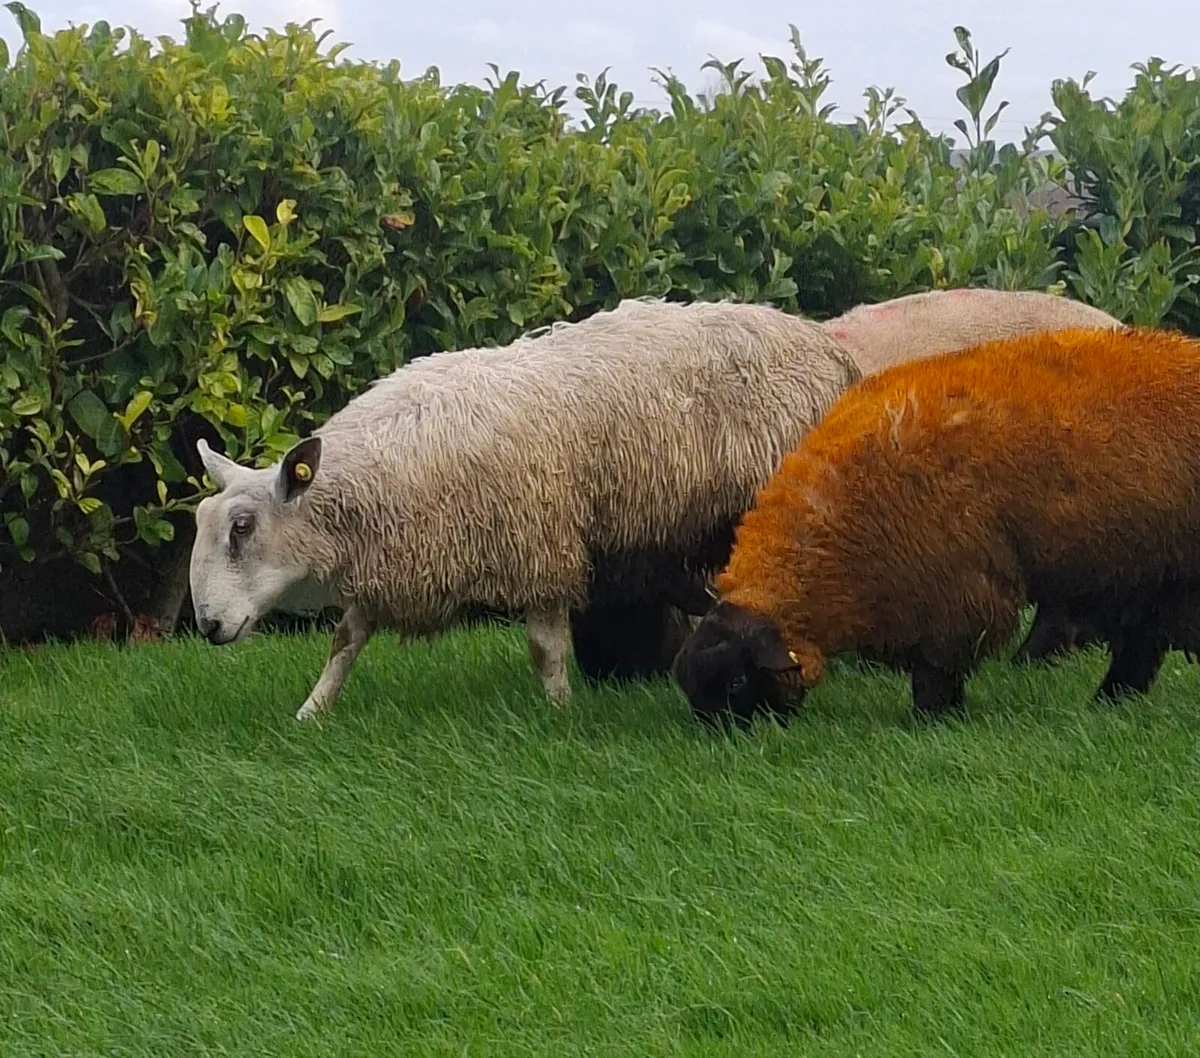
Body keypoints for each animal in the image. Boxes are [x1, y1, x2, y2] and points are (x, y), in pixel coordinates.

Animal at [187, 296, 861, 721]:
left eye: (242, 528)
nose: (209, 627)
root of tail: (822, 343)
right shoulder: (395, 561)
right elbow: (343, 643)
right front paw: (312, 711)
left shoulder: (541, 545)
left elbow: (544, 648)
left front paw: (561, 714)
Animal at [671, 326, 1200, 728]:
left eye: (737, 682)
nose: (726, 740)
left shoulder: (955, 591)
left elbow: (937, 668)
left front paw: (935, 719)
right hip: (1150, 567)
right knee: (1142, 639)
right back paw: (1111, 701)